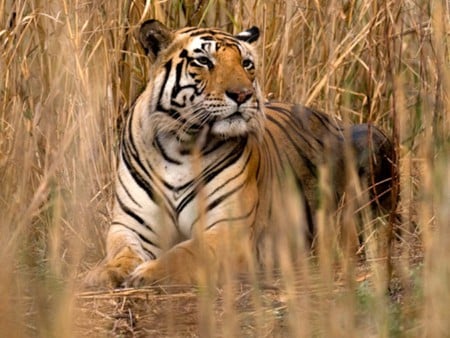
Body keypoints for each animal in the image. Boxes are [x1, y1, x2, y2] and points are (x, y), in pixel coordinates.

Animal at [83, 19, 394, 286]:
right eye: (204, 61)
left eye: (246, 64)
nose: (243, 95)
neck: (180, 144)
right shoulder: (131, 225)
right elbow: (122, 252)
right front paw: (103, 273)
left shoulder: (229, 230)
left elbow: (184, 253)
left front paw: (147, 273)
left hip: (369, 137)